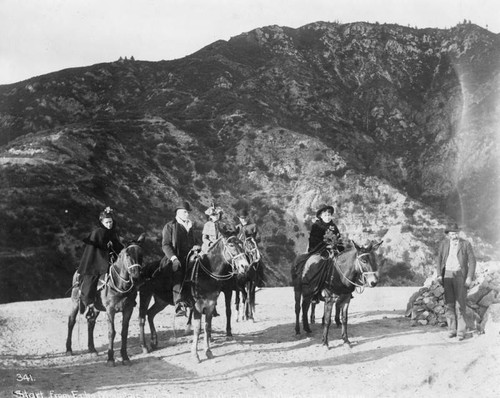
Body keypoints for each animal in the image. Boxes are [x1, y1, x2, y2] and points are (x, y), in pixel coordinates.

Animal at [65, 233, 146, 366]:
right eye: (127, 254)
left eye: (141, 253)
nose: (137, 275)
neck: (119, 284)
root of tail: (77, 271)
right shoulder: (110, 310)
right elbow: (111, 332)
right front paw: (110, 358)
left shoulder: (128, 309)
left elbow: (124, 332)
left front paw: (125, 357)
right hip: (75, 301)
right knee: (71, 321)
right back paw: (68, 349)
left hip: (96, 307)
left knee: (91, 322)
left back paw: (92, 349)